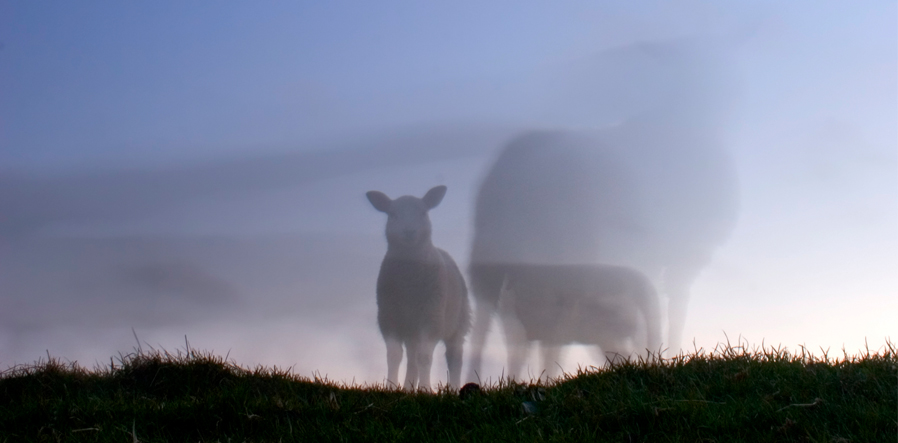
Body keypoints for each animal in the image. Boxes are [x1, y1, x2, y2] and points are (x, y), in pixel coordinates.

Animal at [366, 186, 472, 390]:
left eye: (423, 213)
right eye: (392, 214)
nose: (409, 231)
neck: (409, 282)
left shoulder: (432, 317)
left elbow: (425, 357)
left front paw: (425, 389)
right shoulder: (388, 317)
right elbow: (394, 355)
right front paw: (391, 387)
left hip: (458, 323)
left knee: (455, 356)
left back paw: (454, 388)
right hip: (411, 328)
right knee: (411, 358)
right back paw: (408, 388)